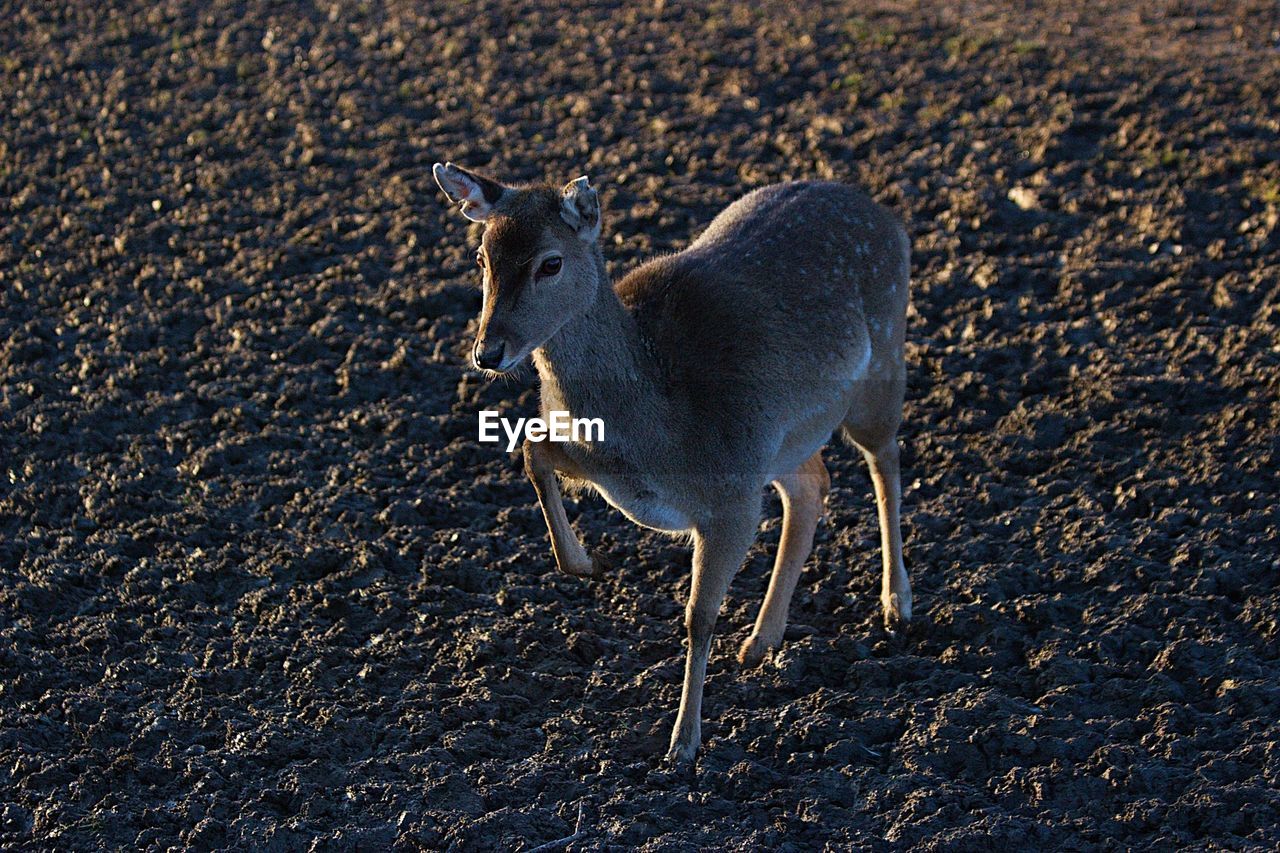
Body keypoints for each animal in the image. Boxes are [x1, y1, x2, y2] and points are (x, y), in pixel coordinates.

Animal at [435, 162, 916, 758]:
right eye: (481, 257)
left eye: (551, 262)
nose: (488, 351)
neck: (652, 432)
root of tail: (884, 214)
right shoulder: (606, 462)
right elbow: (531, 451)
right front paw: (589, 563)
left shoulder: (731, 498)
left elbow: (699, 617)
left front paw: (683, 742)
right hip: (787, 440)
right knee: (813, 484)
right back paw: (762, 641)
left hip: (882, 366)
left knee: (885, 461)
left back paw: (896, 604)